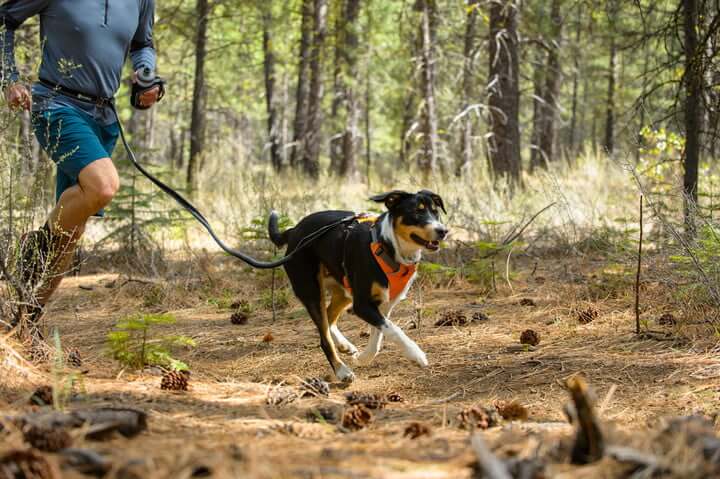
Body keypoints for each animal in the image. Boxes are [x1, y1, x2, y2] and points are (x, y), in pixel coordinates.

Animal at [268, 190, 448, 382]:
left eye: (435, 212)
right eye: (416, 212)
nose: (443, 231)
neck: (389, 247)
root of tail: (294, 231)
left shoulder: (385, 305)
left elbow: (379, 335)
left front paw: (363, 358)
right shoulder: (362, 305)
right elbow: (394, 330)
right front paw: (416, 354)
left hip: (344, 291)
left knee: (329, 317)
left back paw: (344, 345)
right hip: (311, 291)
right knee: (324, 337)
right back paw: (341, 370)